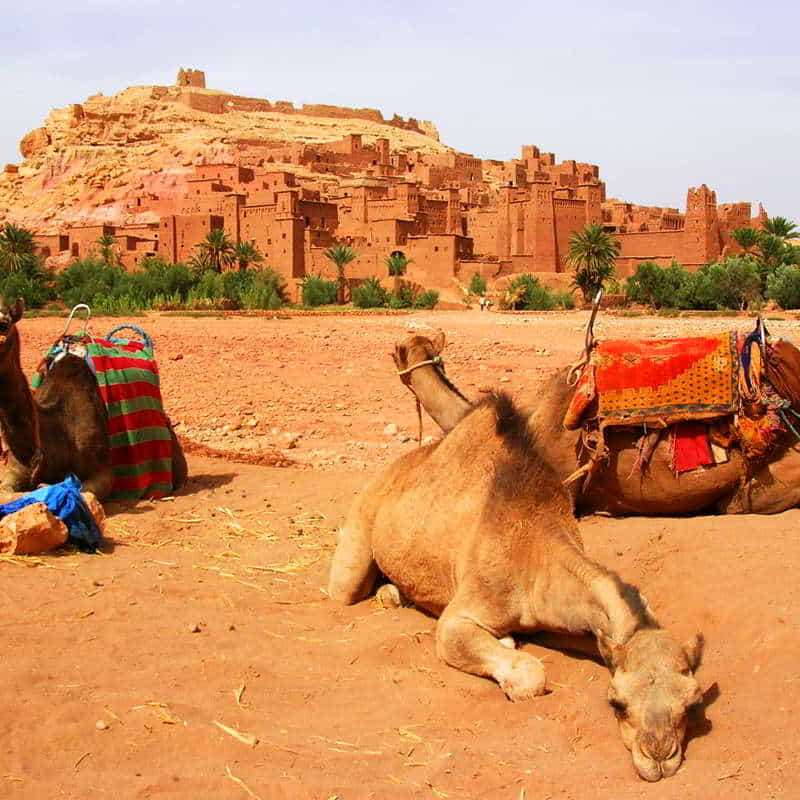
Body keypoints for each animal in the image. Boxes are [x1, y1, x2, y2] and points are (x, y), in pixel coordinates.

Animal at [328, 394, 704, 780]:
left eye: (692, 703)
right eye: (617, 702)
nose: (659, 755)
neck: (534, 553)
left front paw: (509, 639)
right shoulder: (461, 615)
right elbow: (528, 672)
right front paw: (511, 673)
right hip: (359, 531)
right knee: (347, 587)